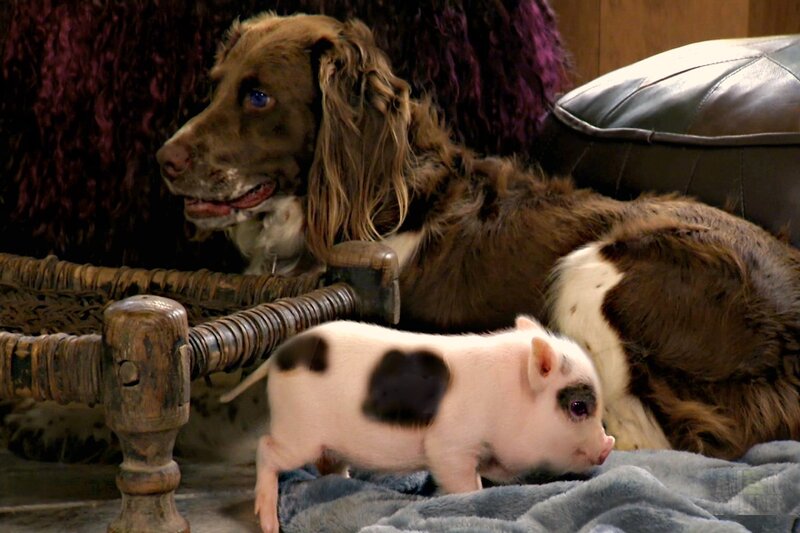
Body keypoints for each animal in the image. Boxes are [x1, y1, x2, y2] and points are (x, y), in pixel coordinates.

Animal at [220, 315, 615, 533]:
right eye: (578, 406)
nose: (608, 446)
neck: (506, 397)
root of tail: (279, 356)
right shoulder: (450, 446)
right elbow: (464, 484)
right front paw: (469, 499)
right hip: (298, 431)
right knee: (266, 449)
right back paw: (269, 524)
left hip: (325, 443)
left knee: (327, 465)